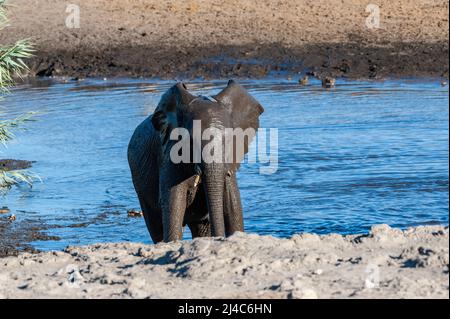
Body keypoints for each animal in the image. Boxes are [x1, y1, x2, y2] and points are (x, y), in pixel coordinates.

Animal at [127, 79, 264, 242]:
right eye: (191, 141)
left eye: (230, 139)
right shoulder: (168, 156)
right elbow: (174, 204)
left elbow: (233, 206)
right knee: (156, 226)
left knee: (201, 227)